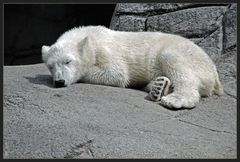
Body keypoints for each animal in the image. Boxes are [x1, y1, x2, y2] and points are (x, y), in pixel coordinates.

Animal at [41, 25, 223, 109]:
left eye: (68, 61)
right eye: (50, 66)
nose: (59, 82)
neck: (89, 36)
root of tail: (214, 71)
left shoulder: (106, 50)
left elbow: (117, 74)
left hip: (189, 55)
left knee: (174, 62)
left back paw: (175, 98)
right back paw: (158, 87)